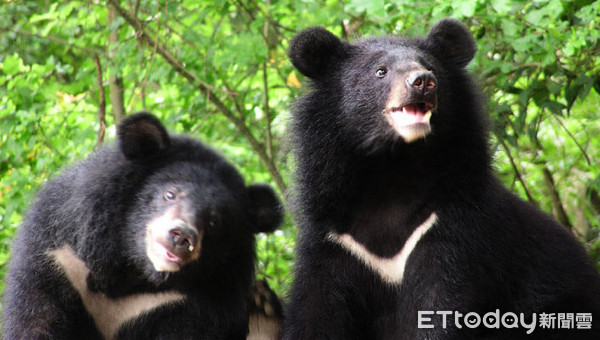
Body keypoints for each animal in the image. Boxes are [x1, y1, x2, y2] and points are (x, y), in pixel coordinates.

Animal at [2, 113, 284, 338]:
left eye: (215, 221)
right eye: (170, 194)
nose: (181, 237)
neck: (133, 271)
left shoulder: (188, 303)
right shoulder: (60, 257)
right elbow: (36, 318)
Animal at [282, 19, 600, 340]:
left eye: (430, 67)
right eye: (380, 71)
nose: (422, 81)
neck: (392, 170)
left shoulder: (451, 229)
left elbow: (442, 305)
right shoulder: (333, 239)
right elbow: (317, 311)